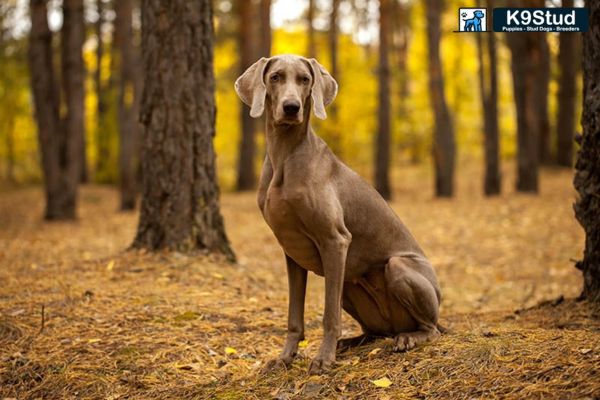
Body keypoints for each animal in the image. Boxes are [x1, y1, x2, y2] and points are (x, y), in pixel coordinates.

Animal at [237, 54, 442, 376]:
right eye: (275, 77)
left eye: (305, 79)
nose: (291, 107)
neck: (285, 154)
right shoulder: (291, 251)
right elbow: (294, 316)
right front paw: (285, 358)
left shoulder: (335, 240)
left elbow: (328, 315)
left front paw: (324, 358)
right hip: (349, 284)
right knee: (375, 332)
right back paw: (351, 342)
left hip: (394, 267)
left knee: (430, 328)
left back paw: (407, 338)